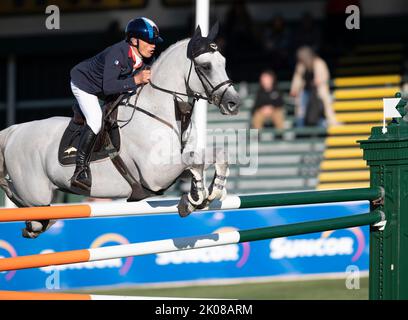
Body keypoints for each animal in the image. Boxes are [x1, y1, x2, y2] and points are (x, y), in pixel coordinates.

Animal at [0, 25, 239, 238]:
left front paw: (211, 191)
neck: (159, 110)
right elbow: (194, 161)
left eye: (224, 63)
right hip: (36, 195)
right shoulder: (156, 174)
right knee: (29, 210)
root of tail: (14, 130)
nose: (233, 103)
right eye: (206, 66)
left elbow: (216, 155)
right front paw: (196, 196)